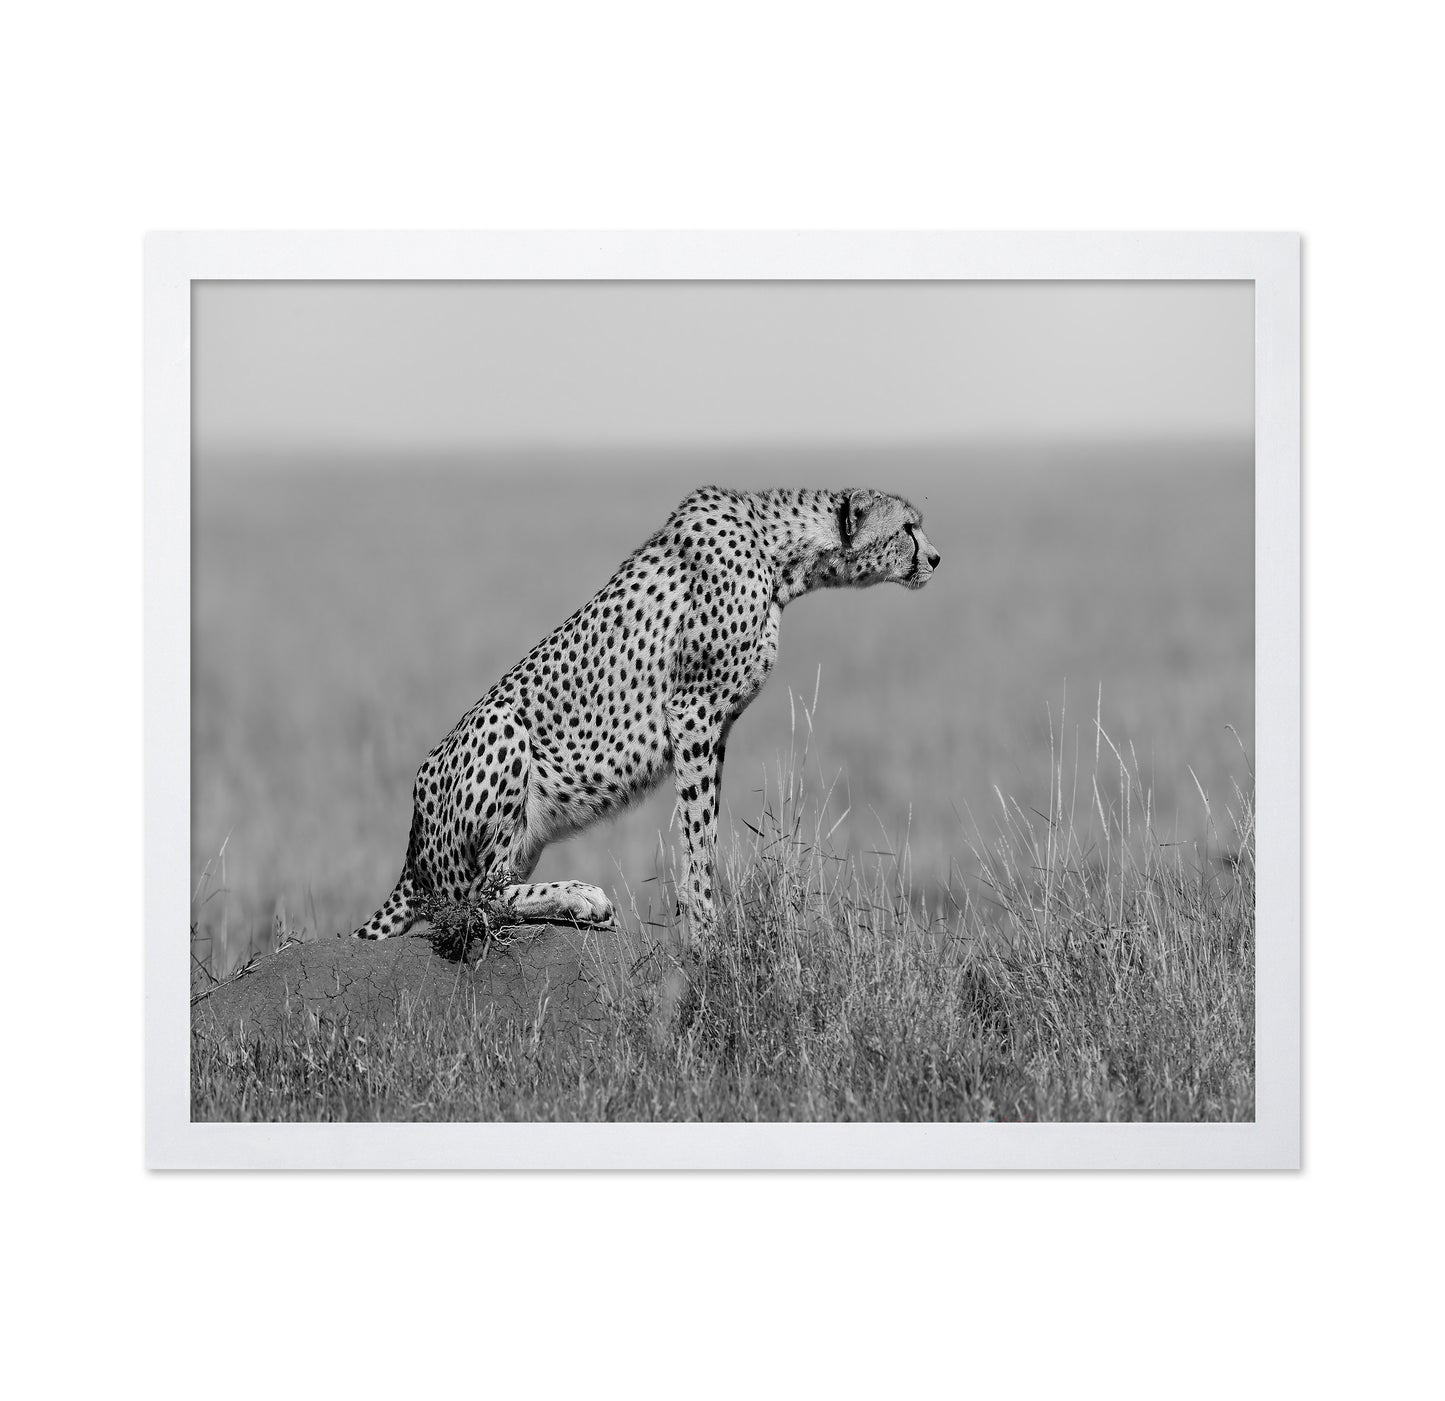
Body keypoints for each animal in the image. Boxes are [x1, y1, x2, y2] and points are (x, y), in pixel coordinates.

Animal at [352, 485, 940, 945]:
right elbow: (698, 832)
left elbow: (705, 825)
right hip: (502, 726)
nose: (936, 558)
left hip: (522, 835)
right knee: (471, 903)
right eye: (908, 527)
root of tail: (412, 845)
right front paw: (705, 930)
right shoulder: (694, 711)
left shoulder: (715, 726)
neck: (780, 554)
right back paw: (582, 896)